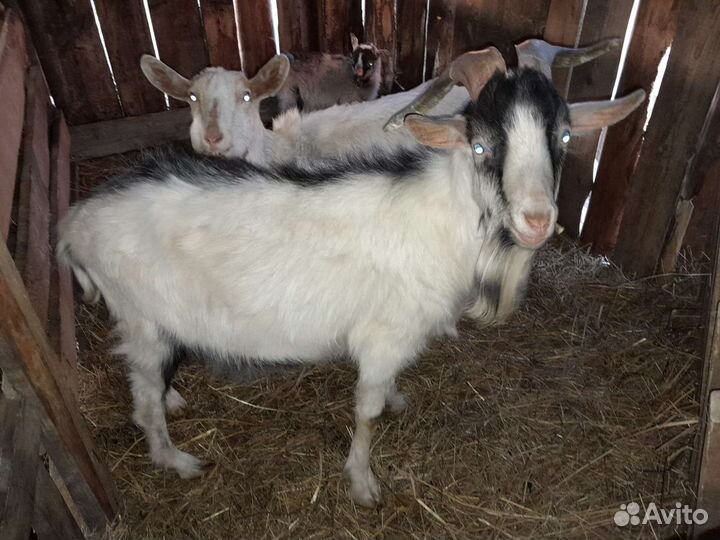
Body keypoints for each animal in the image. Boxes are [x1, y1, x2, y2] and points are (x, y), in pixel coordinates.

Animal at [65, 46, 645, 507]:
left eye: (563, 136)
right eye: (480, 145)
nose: (537, 219)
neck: (442, 217)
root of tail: (76, 221)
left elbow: (384, 394)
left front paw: (396, 400)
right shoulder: (383, 335)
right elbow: (366, 412)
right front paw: (363, 483)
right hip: (140, 317)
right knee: (142, 401)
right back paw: (177, 459)